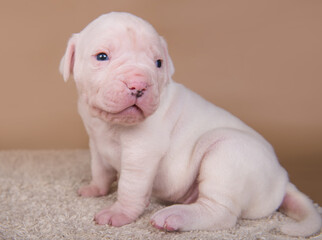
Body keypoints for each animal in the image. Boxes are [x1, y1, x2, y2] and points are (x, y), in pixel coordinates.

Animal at [59, 11, 320, 236]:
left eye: (158, 63)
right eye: (102, 56)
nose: (139, 85)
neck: (109, 123)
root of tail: (282, 179)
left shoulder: (141, 152)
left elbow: (130, 187)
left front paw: (119, 213)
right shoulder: (96, 142)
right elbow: (100, 169)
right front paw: (95, 189)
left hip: (225, 151)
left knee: (221, 212)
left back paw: (175, 216)